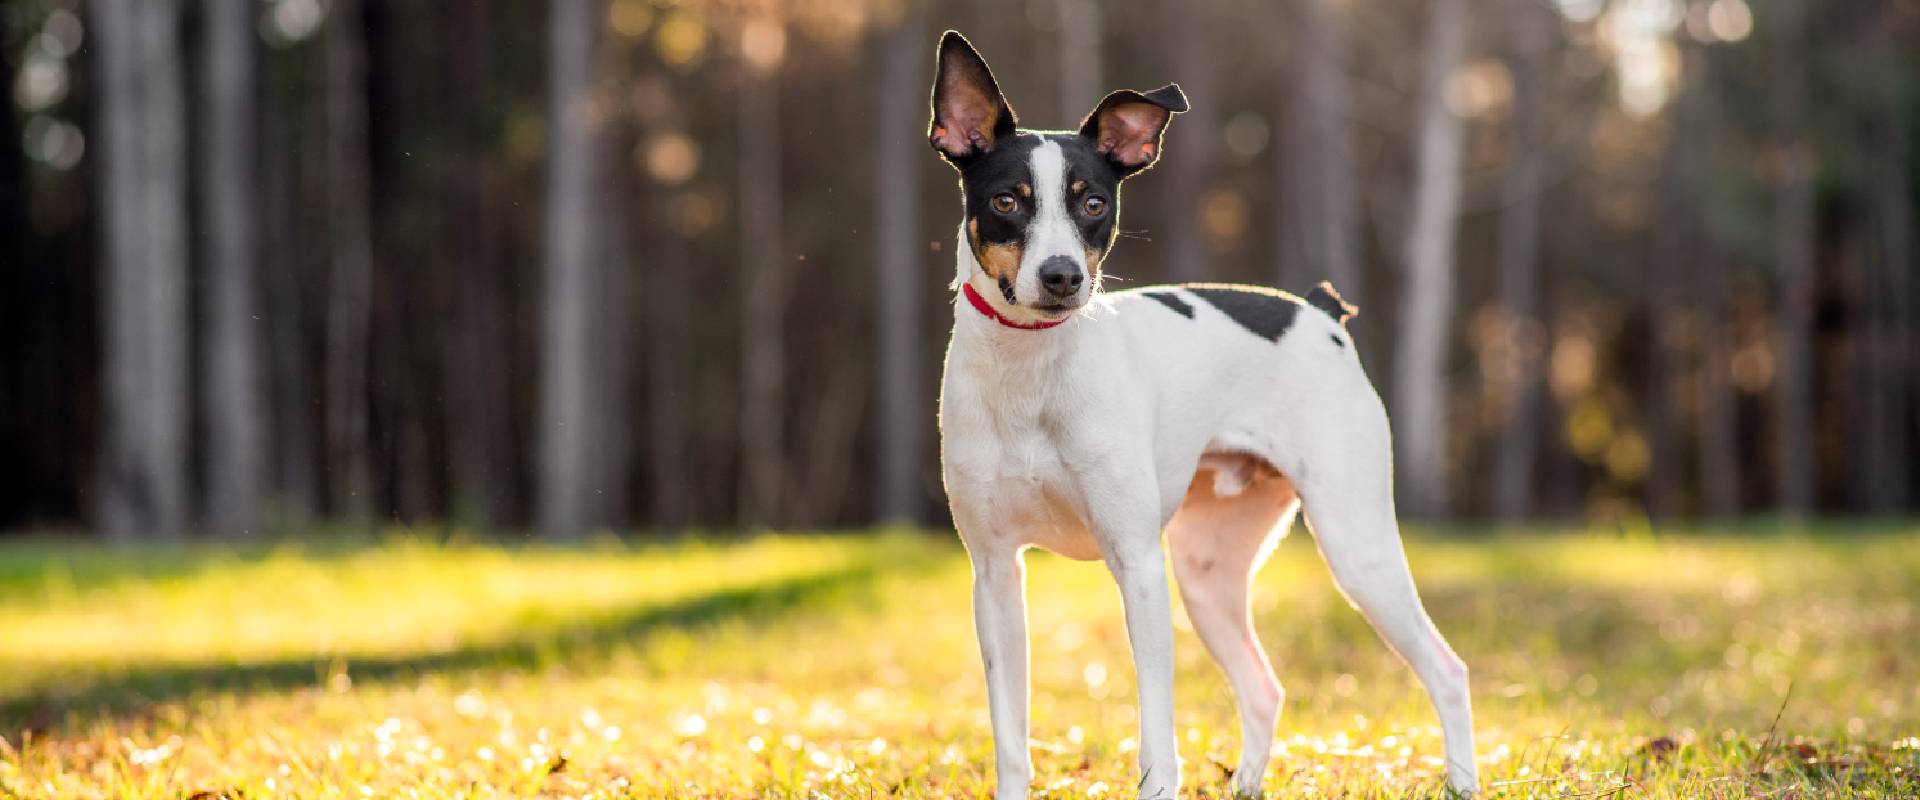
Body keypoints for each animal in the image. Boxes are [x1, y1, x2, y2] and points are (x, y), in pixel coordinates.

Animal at [929, 29, 1482, 790]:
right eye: (1008, 201)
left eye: (1093, 205)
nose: (1062, 276)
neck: (1032, 377)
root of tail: (1318, 313)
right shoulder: (994, 575)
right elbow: (1011, 739)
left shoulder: (1137, 566)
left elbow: (1156, 739)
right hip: (1207, 575)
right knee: (1264, 688)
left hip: (1355, 546)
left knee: (1447, 669)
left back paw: (1462, 780)